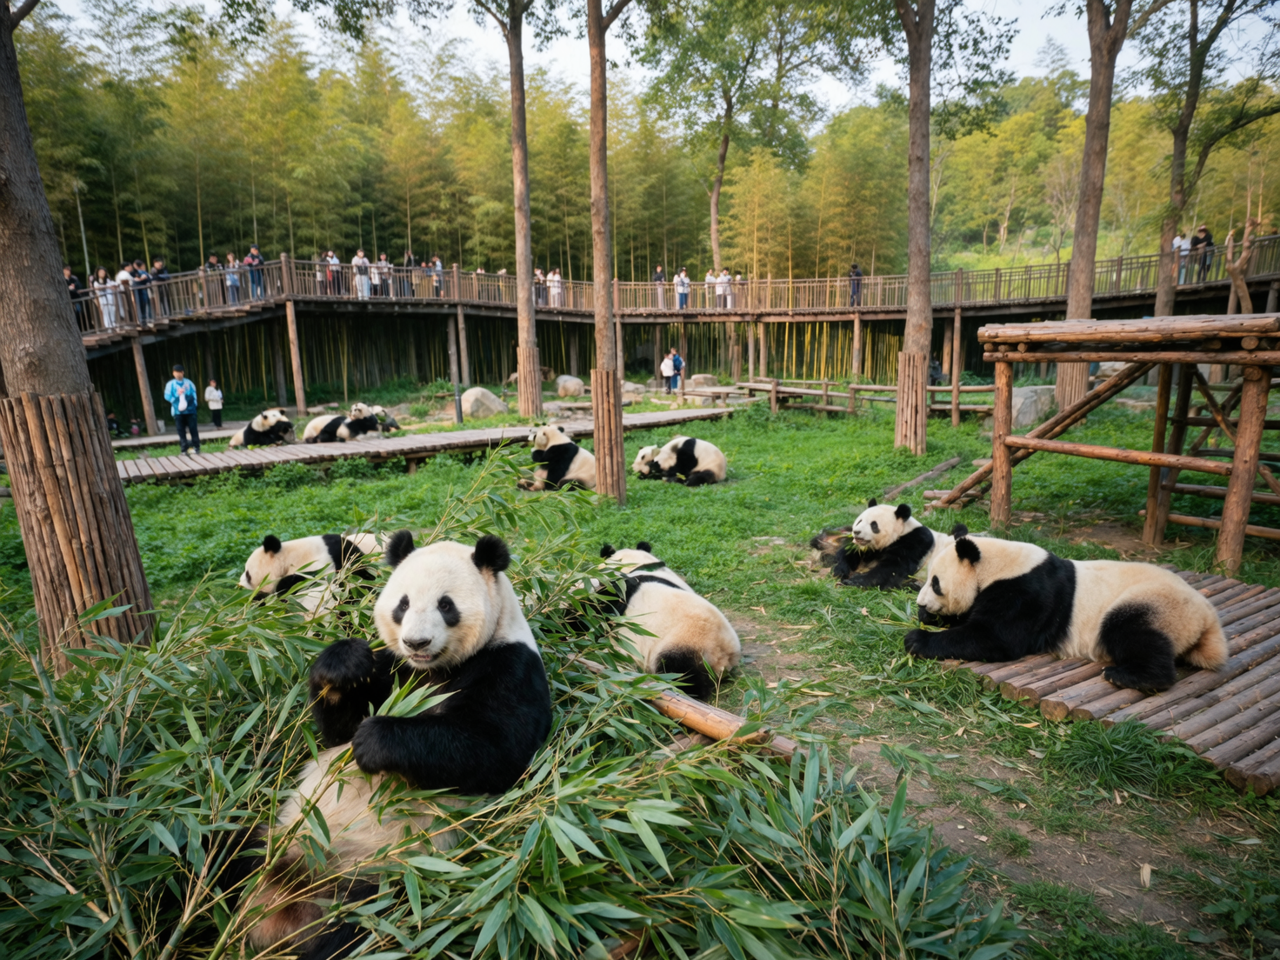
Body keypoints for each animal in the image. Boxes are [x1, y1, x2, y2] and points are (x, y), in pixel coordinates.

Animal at [590, 542, 741, 701]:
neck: (638, 565)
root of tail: (722, 656)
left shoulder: (622, 590)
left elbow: (600, 609)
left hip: (684, 641)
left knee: (681, 673)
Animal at [906, 526, 1228, 691]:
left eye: (936, 583)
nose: (922, 602)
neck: (997, 563)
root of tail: (1208, 619)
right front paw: (928, 617)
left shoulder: (1026, 593)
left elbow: (995, 637)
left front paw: (916, 638)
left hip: (1155, 604)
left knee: (1134, 633)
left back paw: (1130, 676)